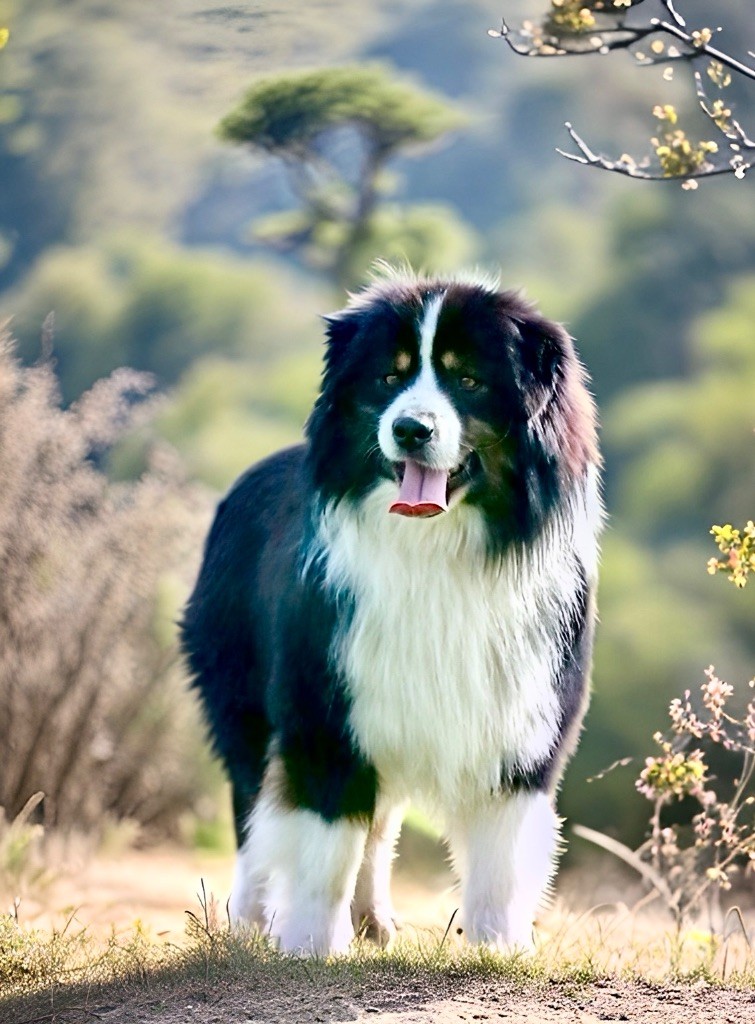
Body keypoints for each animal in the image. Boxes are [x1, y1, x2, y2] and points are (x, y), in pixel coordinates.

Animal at [181, 268, 602, 954]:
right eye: (388, 377)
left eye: (468, 379)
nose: (410, 429)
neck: (435, 548)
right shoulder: (325, 708)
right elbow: (323, 841)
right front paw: (311, 945)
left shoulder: (523, 716)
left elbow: (500, 855)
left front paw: (501, 948)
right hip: (241, 697)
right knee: (254, 810)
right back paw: (252, 917)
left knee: (378, 829)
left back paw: (375, 922)